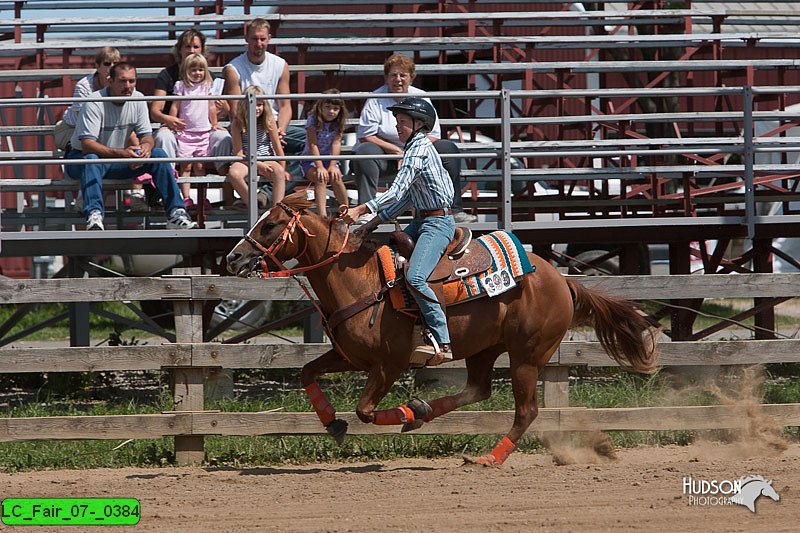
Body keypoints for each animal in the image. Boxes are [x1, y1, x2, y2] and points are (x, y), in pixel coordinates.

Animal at [225, 192, 656, 466]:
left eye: (271, 225)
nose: (233, 258)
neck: (360, 282)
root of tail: (561, 278)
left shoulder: (389, 365)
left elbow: (366, 411)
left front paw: (398, 413)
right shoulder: (350, 357)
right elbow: (306, 371)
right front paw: (333, 421)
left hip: (527, 355)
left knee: (526, 411)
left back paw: (488, 457)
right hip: (485, 349)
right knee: (478, 390)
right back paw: (425, 411)